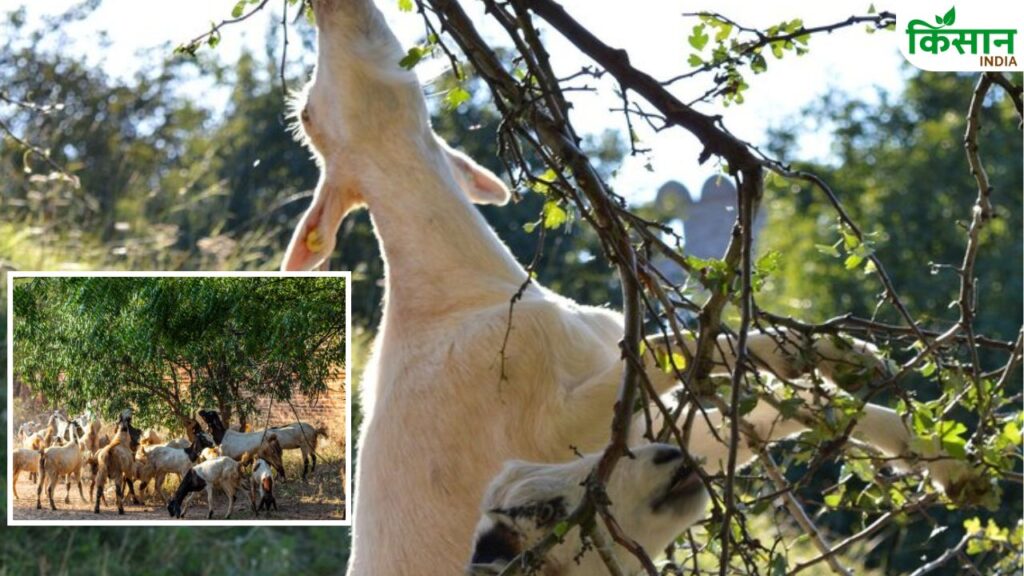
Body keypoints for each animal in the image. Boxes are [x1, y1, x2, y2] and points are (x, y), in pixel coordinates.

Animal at [281, 2, 971, 573]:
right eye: (310, 111)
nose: (322, 4)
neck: (457, 296)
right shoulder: (561, 422)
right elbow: (677, 350)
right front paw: (830, 361)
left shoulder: (638, 437)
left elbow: (754, 412)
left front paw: (926, 446)